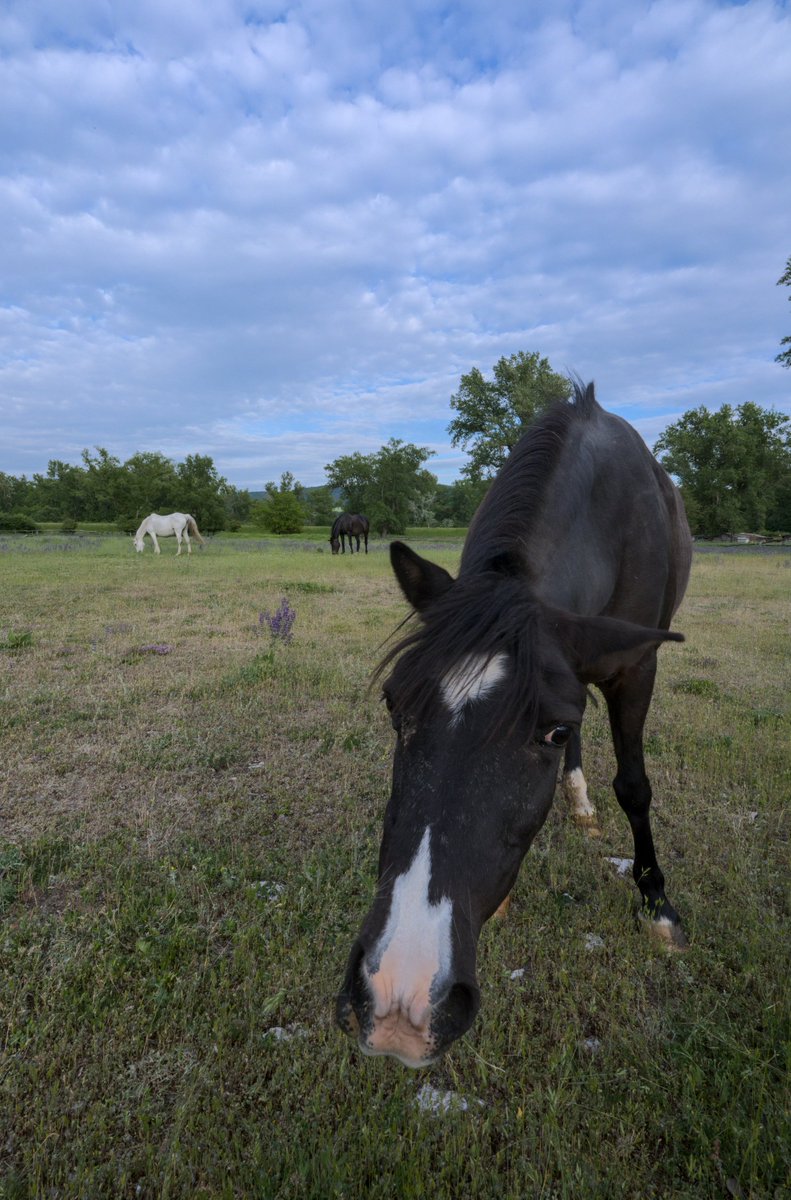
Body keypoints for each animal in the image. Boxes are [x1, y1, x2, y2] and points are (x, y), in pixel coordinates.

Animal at [336, 382, 691, 1067]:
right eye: (394, 705)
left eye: (550, 732)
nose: (399, 999)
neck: (604, 507)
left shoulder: (638, 665)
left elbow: (635, 786)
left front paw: (658, 904)